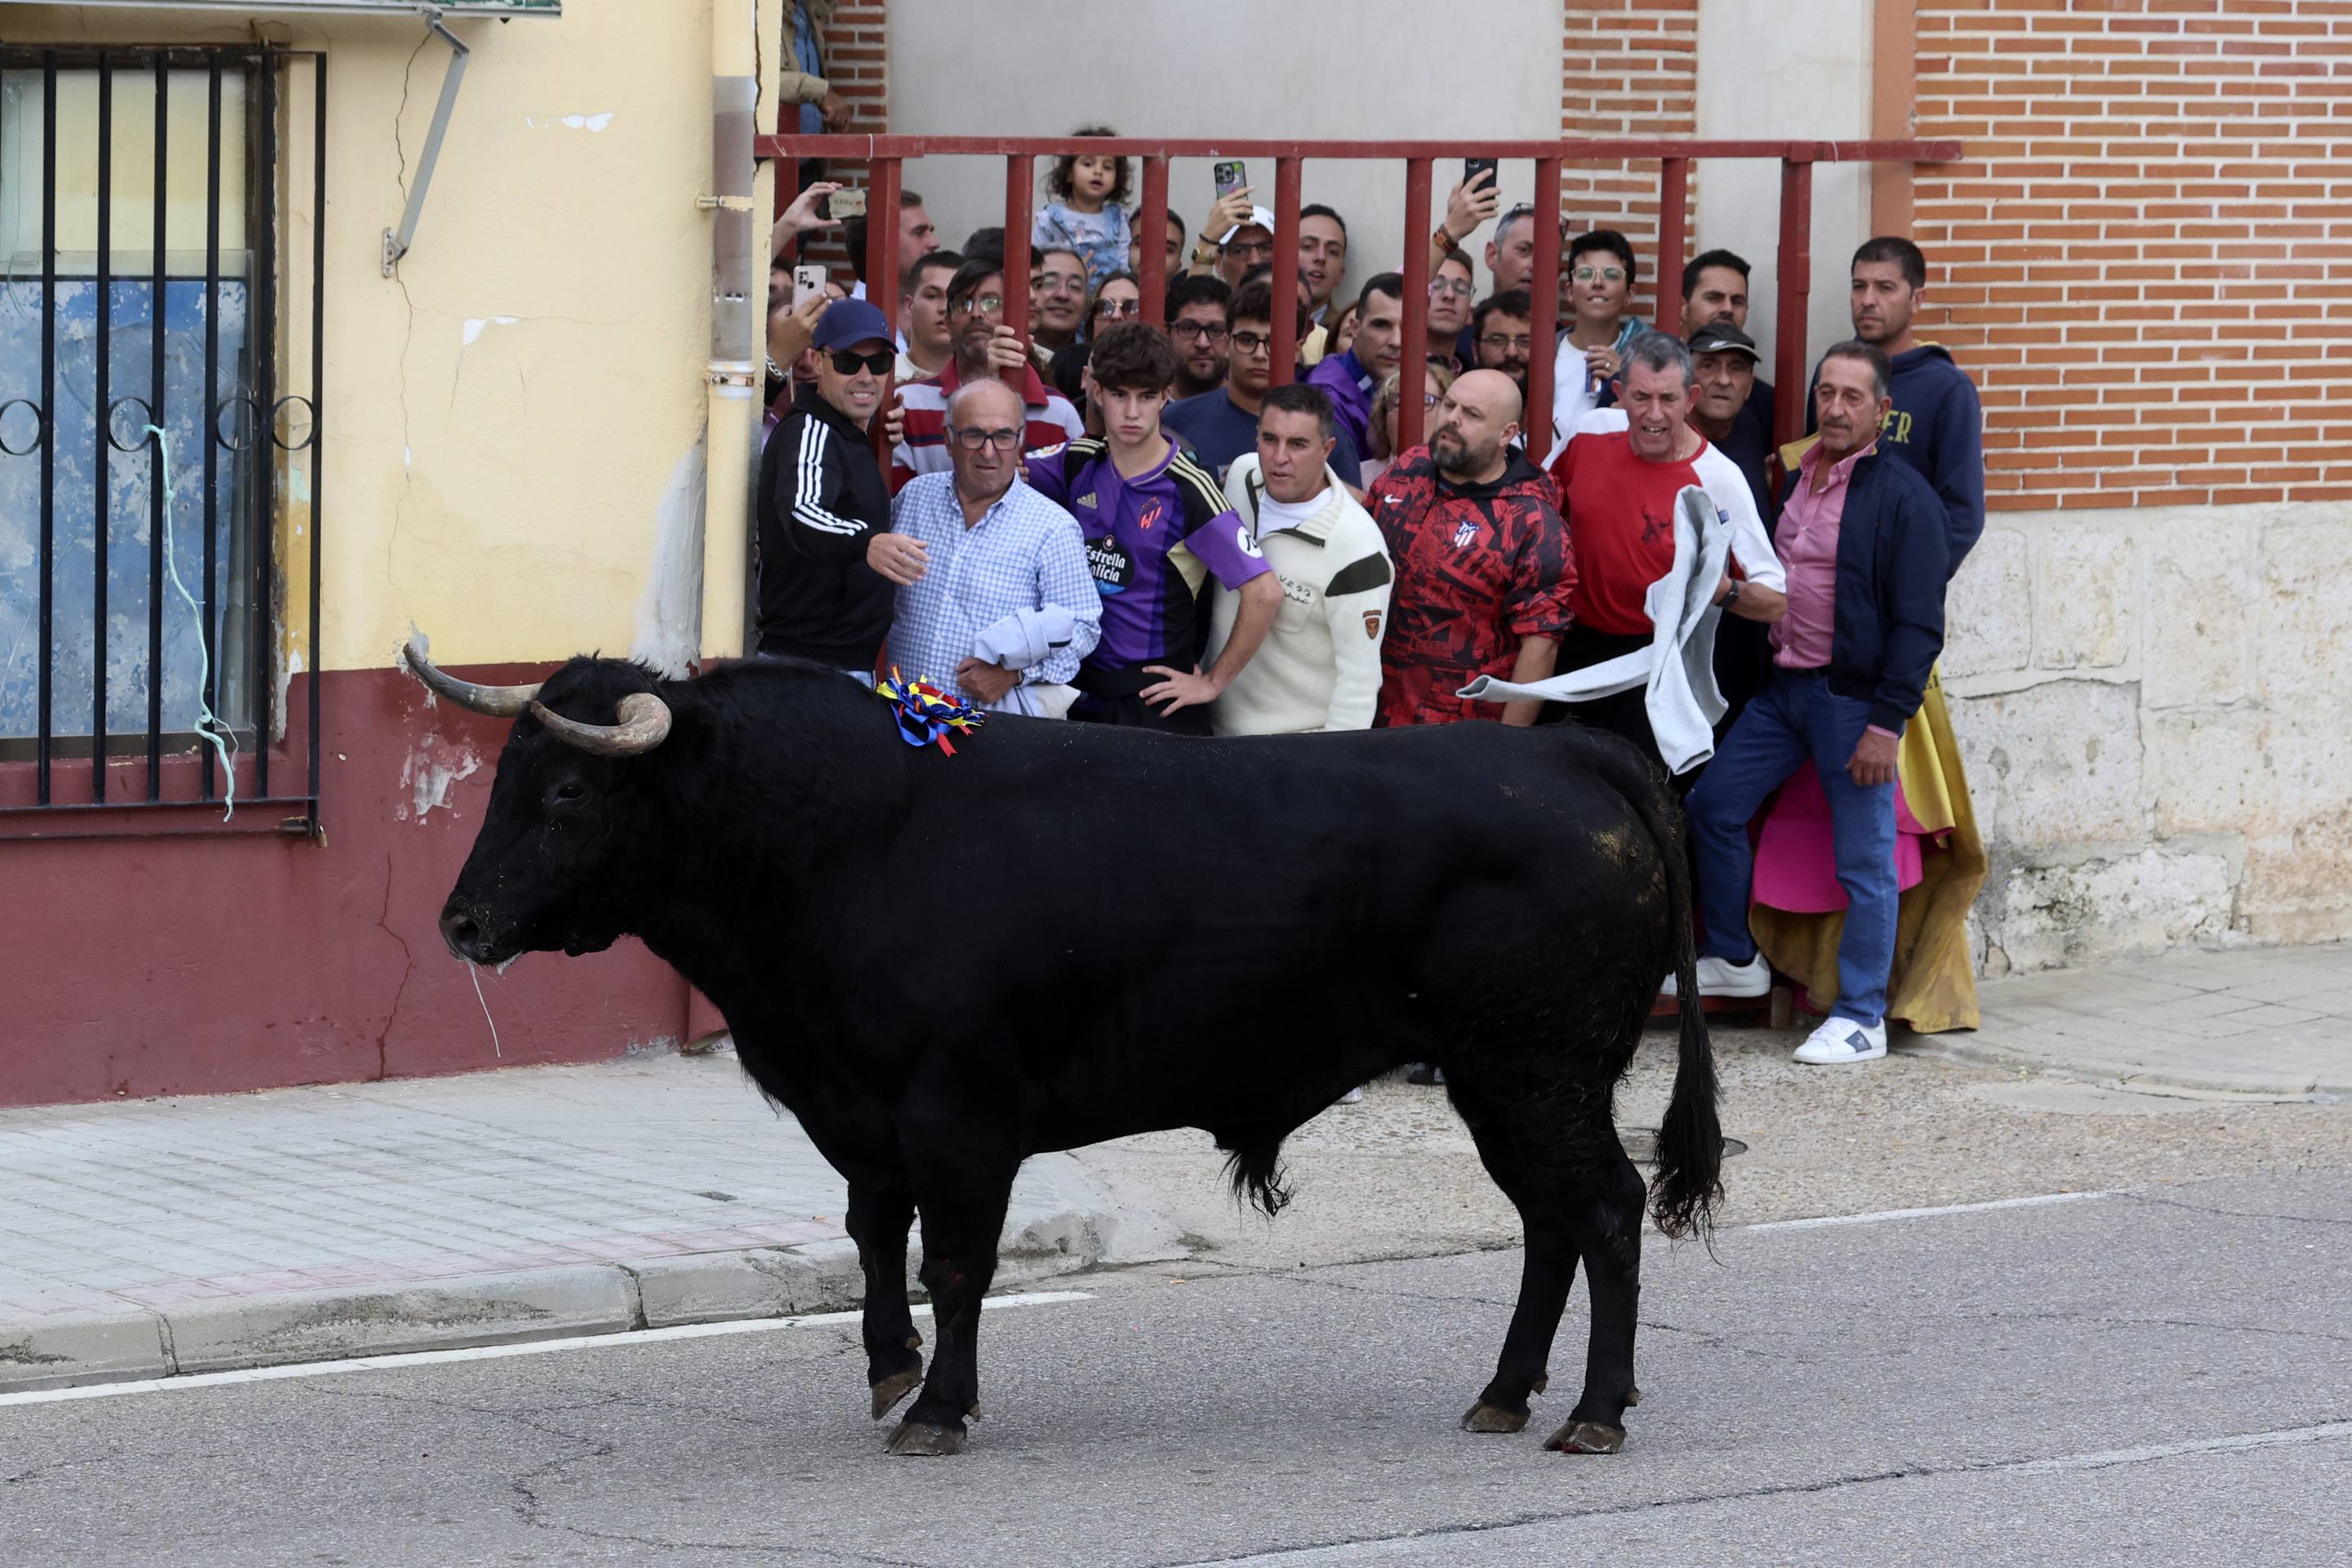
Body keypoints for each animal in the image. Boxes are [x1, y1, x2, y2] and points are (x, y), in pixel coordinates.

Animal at [413, 648, 1722, 1457]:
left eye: (570, 792)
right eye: (502, 778)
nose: (462, 925)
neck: (843, 839)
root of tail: (1575, 757)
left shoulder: (960, 1116)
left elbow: (956, 1264)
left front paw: (938, 1410)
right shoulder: (860, 1113)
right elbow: (875, 1239)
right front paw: (890, 1370)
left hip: (1539, 1070)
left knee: (1605, 1212)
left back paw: (1594, 1414)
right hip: (1500, 1083)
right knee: (1550, 1222)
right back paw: (1502, 1396)